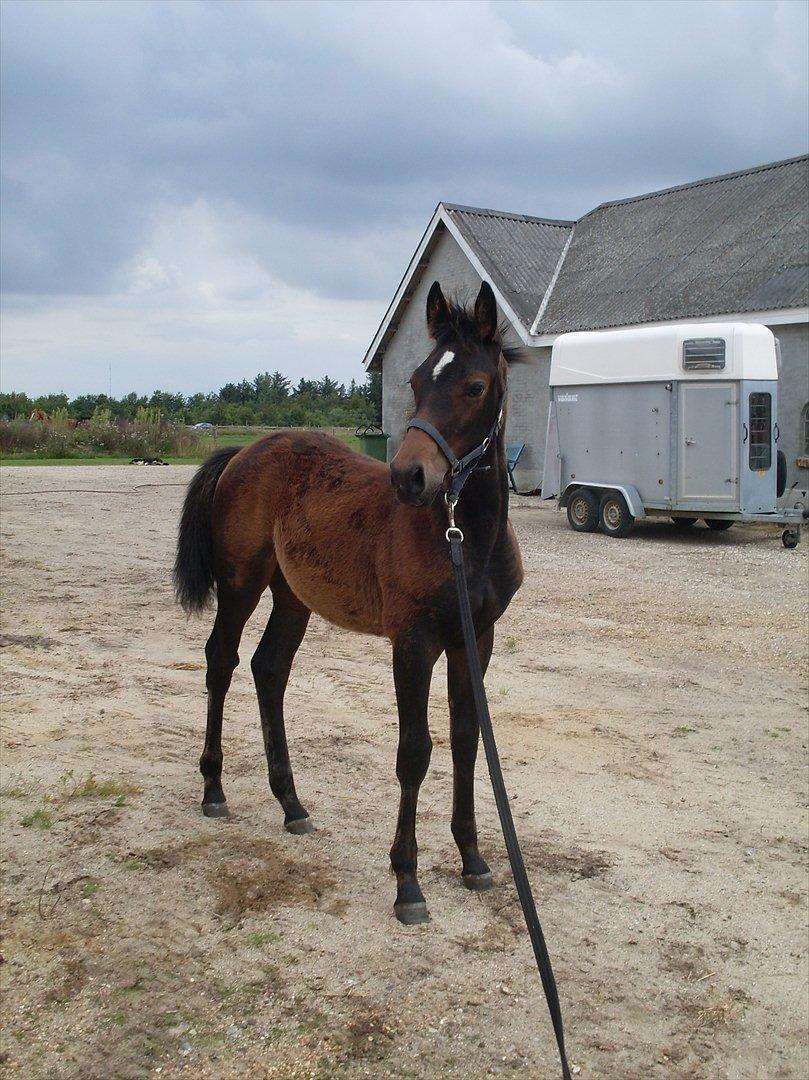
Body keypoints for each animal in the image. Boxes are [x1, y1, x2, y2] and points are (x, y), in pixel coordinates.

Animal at [173, 278, 524, 920]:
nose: (409, 477)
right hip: (240, 583)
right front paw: (407, 884)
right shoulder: (412, 641)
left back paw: (291, 804)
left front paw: (473, 860)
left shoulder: (475, 638)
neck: (463, 539)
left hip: (292, 595)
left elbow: (466, 741)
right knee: (220, 662)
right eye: (415, 381)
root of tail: (242, 452)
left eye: (475, 386)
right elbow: (415, 750)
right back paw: (213, 788)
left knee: (268, 669)